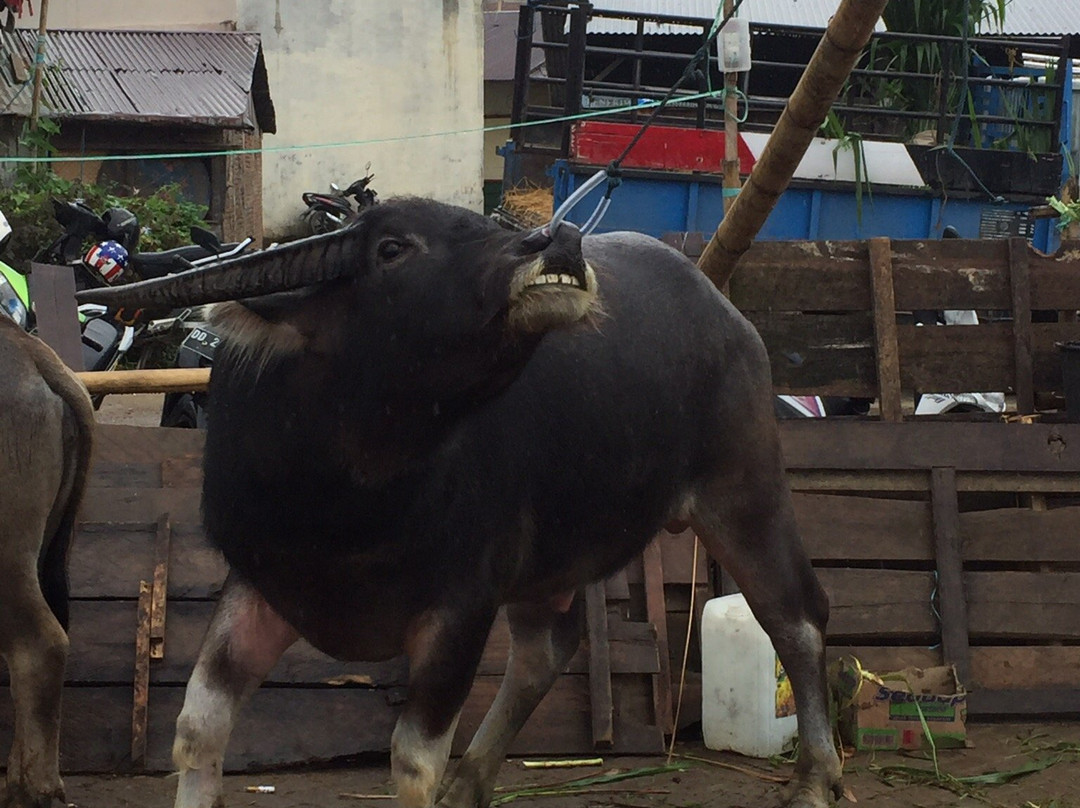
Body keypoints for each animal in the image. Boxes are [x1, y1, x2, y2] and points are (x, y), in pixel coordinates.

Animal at [79, 200, 842, 808]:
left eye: (478, 225)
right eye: (392, 248)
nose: (559, 241)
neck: (348, 498)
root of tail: (724, 312)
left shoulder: (459, 611)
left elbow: (413, 763)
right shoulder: (260, 584)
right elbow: (196, 731)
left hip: (744, 489)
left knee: (796, 619)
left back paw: (816, 780)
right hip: (552, 562)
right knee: (545, 652)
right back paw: (471, 783)